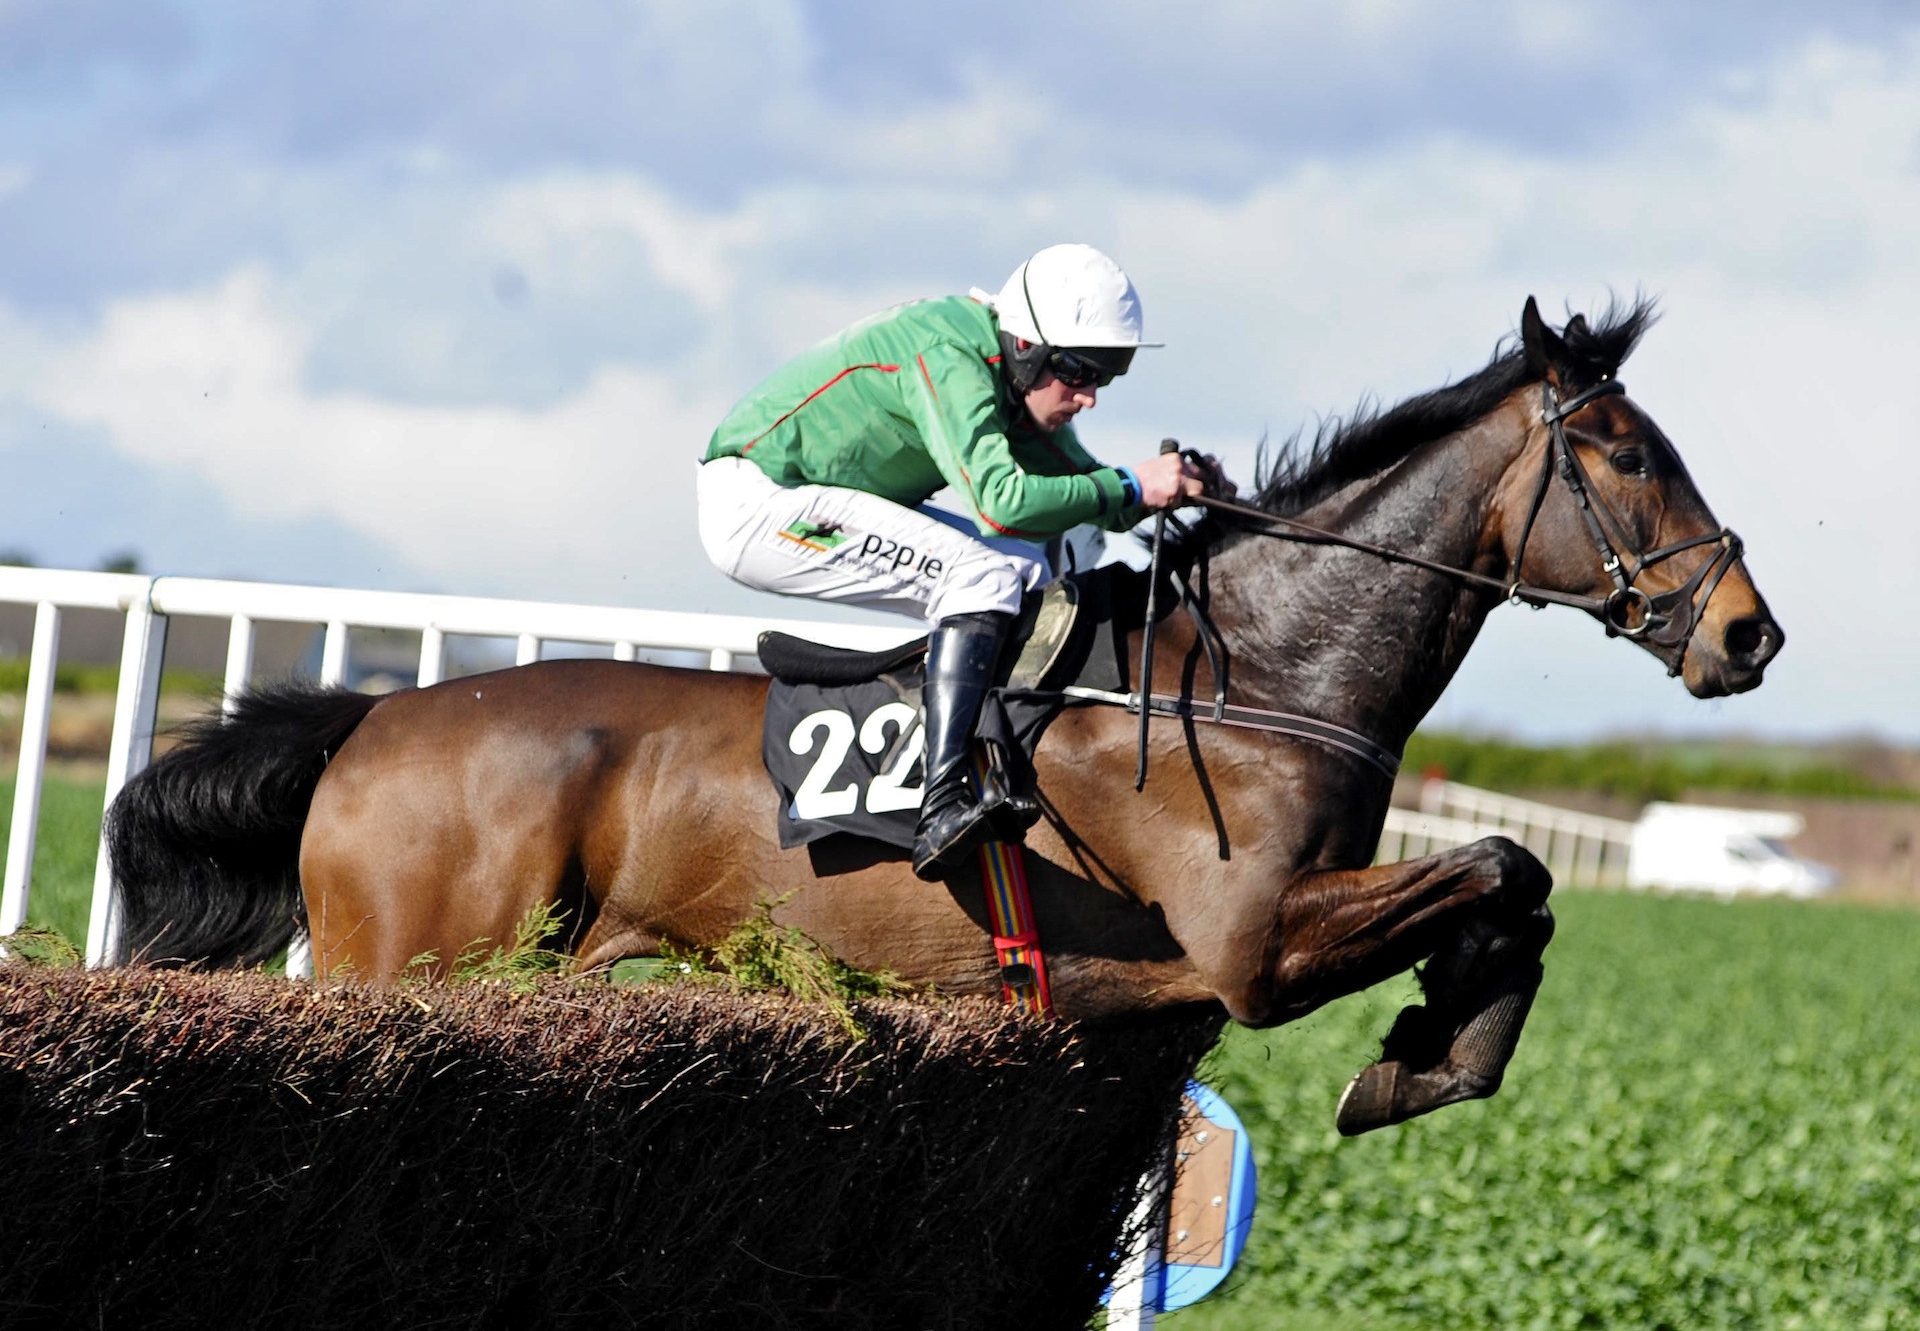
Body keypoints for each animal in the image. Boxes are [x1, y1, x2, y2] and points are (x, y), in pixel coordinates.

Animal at [105, 297, 1781, 1129]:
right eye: (1629, 453)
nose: (1749, 633)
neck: (1259, 674)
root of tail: (369, 726)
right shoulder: (1250, 946)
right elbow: (1504, 859)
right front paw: (1429, 1048)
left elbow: (1520, 881)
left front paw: (1442, 1030)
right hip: (411, 964)